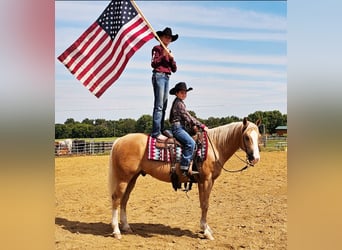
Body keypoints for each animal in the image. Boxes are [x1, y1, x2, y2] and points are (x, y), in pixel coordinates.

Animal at [108, 118, 260, 239]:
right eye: (246, 137)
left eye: (258, 136)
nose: (256, 158)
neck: (214, 147)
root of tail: (119, 140)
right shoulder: (205, 180)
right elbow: (205, 204)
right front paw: (206, 232)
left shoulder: (207, 181)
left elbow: (203, 203)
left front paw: (205, 228)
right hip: (123, 178)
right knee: (116, 199)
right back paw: (116, 231)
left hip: (132, 178)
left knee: (124, 199)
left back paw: (126, 227)